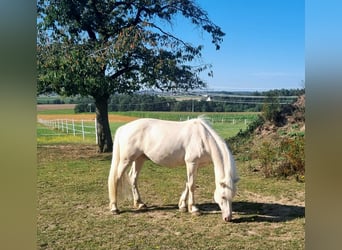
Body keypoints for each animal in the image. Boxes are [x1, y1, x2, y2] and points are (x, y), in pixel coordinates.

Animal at [108, 116, 239, 221]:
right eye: (223, 196)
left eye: (232, 196)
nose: (228, 218)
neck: (203, 138)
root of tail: (124, 128)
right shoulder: (191, 163)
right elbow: (192, 185)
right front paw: (194, 209)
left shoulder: (196, 165)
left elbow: (188, 183)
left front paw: (182, 206)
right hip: (126, 160)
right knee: (116, 178)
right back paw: (114, 208)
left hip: (139, 158)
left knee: (133, 178)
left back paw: (140, 203)